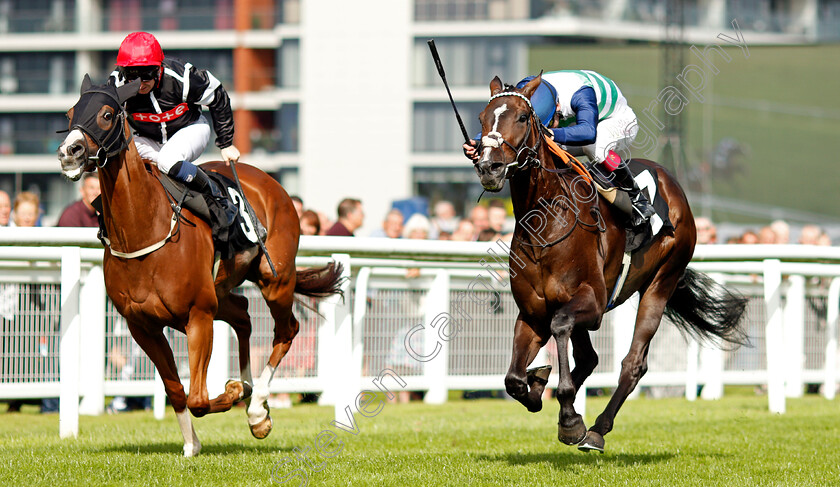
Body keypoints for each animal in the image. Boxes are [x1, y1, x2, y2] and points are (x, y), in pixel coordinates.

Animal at [57, 76, 342, 458]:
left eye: (106, 113)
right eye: (70, 112)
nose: (68, 152)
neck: (144, 228)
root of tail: (270, 182)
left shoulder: (198, 314)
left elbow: (199, 398)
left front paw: (236, 392)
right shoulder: (142, 325)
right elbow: (177, 391)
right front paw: (192, 443)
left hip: (274, 279)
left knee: (287, 329)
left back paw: (257, 409)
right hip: (221, 291)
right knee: (243, 314)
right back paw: (252, 399)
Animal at [476, 75, 744, 454]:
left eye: (523, 118)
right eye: (483, 117)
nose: (489, 166)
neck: (546, 221)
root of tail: (672, 183)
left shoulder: (592, 302)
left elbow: (561, 329)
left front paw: (570, 420)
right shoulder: (533, 312)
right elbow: (513, 379)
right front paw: (538, 387)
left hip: (661, 282)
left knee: (633, 364)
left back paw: (597, 429)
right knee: (589, 358)